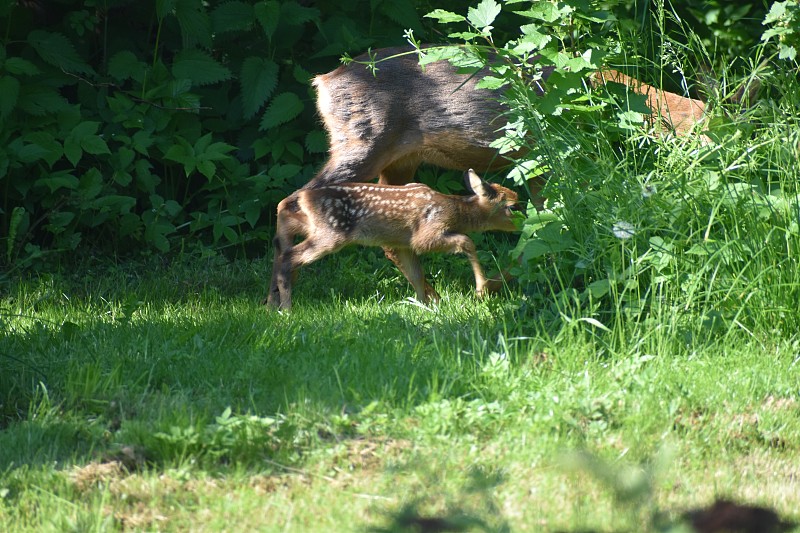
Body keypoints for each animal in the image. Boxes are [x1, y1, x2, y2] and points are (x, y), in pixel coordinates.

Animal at [268, 170, 520, 310]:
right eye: (512, 206)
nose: (523, 224)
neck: (455, 210)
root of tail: (306, 196)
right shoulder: (425, 235)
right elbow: (467, 241)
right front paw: (482, 288)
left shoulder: (403, 243)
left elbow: (416, 274)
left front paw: (425, 306)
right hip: (332, 234)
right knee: (290, 256)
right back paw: (287, 308)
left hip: (315, 226)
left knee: (282, 223)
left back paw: (272, 305)